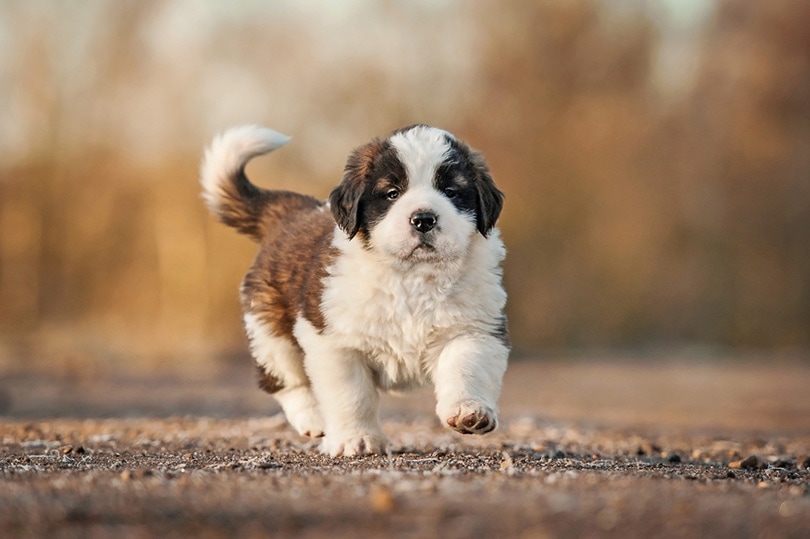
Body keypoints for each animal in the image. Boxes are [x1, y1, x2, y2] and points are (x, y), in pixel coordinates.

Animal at [200, 123, 508, 456]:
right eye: (392, 193)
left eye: (451, 192)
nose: (424, 219)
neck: (412, 275)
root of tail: (294, 212)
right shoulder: (336, 342)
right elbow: (351, 396)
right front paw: (356, 438)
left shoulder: (474, 328)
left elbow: (466, 366)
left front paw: (469, 412)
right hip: (270, 331)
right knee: (285, 380)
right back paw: (314, 418)